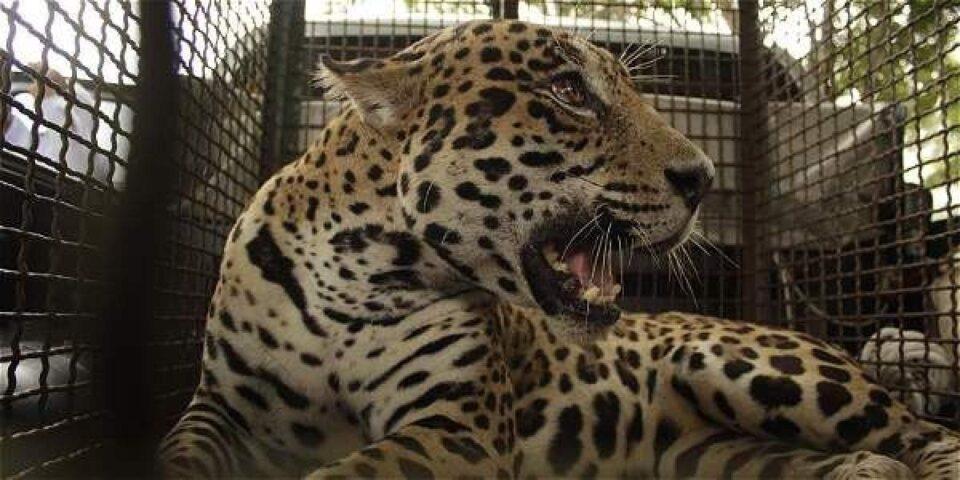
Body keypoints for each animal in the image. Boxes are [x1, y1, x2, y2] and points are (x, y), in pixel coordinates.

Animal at [159, 20, 960, 478]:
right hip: (706, 451)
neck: (358, 275)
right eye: (570, 90)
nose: (702, 176)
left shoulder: (460, 426)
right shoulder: (220, 408)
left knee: (924, 429)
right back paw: (864, 472)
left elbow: (350, 472)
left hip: (747, 365)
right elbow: (178, 455)